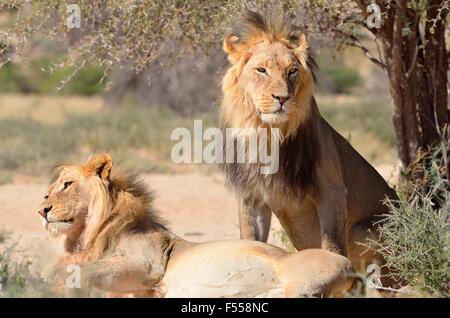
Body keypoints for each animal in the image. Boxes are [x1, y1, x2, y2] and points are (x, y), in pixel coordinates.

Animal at [38, 153, 354, 296]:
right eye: (48, 191)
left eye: (66, 185)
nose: (41, 211)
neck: (88, 236)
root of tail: (352, 268)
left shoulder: (150, 265)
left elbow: (76, 270)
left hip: (303, 279)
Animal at [220, 9, 400, 276]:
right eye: (261, 70)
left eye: (292, 71)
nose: (282, 98)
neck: (269, 135)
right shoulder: (253, 197)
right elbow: (251, 240)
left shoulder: (332, 191)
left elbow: (332, 246)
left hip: (364, 230)